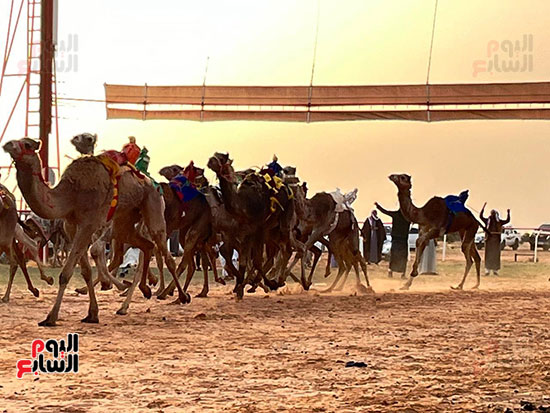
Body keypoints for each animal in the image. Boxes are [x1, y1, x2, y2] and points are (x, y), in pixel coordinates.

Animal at [3, 138, 190, 326]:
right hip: (125, 221)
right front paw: (92, 314)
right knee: (146, 245)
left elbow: (66, 273)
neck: (71, 193)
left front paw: (51, 317)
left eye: (27, 144)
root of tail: (151, 182)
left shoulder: (89, 223)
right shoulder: (71, 226)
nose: (7, 145)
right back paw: (141, 292)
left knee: (165, 253)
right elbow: (85, 271)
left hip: (153, 206)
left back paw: (180, 296)